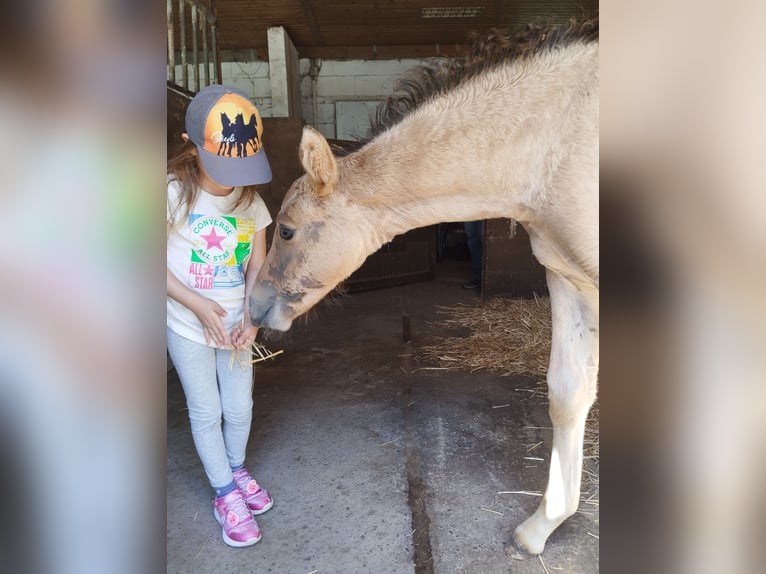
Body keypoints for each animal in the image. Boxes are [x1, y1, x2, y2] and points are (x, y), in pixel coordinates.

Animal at [249, 18, 599, 556]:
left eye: (286, 230)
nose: (255, 304)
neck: (555, 146)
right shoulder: (568, 277)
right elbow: (567, 393)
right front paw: (542, 525)